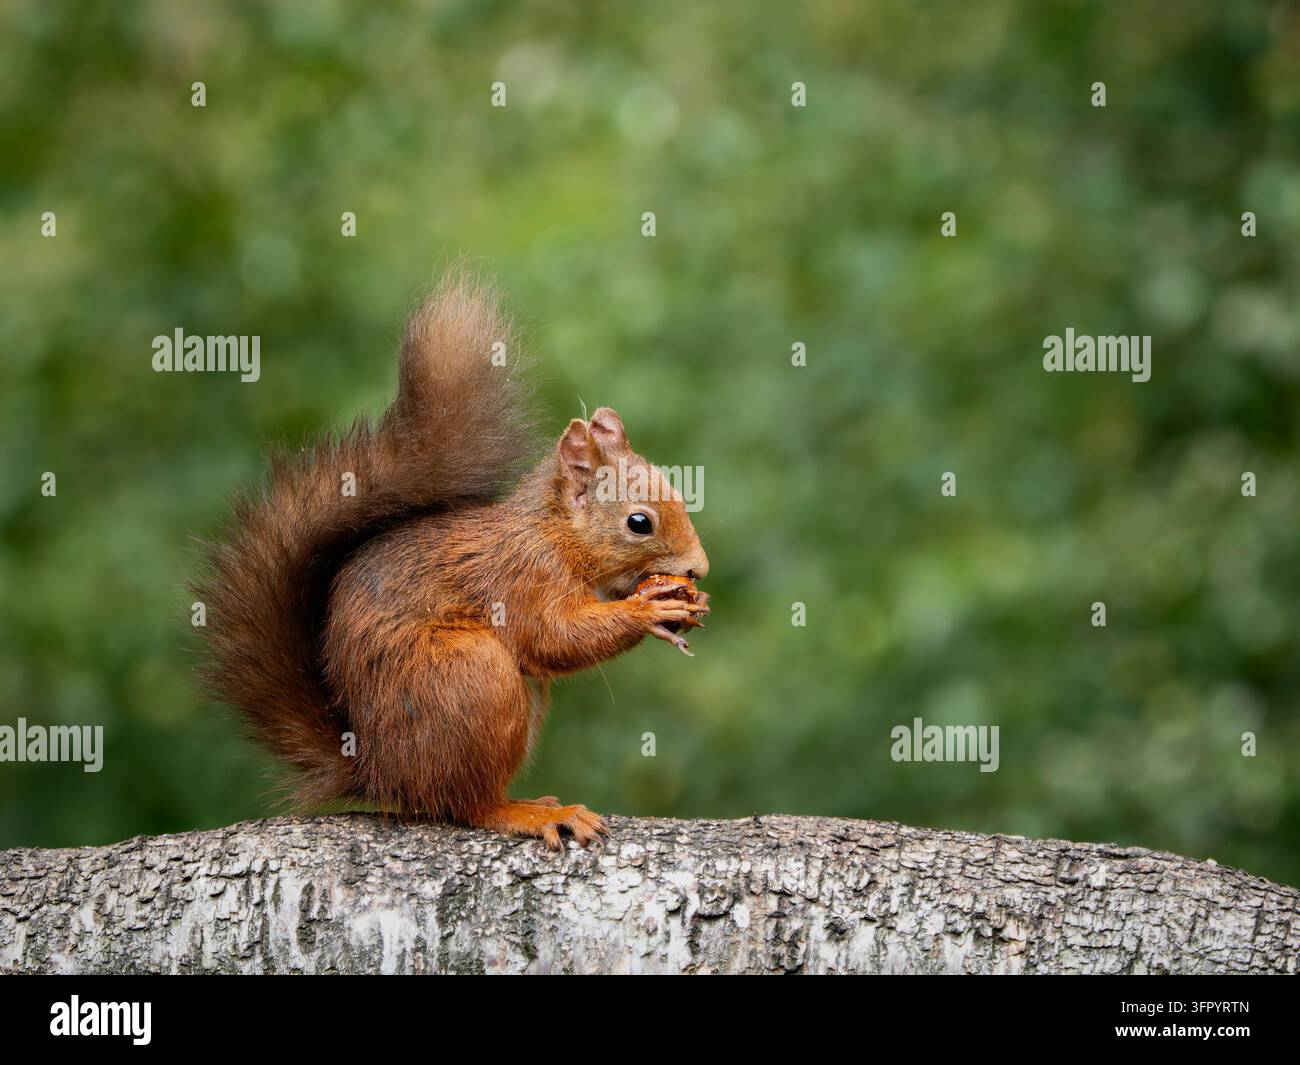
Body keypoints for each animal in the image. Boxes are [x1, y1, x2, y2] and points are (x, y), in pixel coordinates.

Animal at [195, 274, 710, 849]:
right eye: (639, 522)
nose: (699, 568)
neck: (554, 534)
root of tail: (379, 771)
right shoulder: (522, 576)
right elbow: (553, 635)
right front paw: (650, 609)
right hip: (470, 677)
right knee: (465, 803)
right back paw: (526, 812)